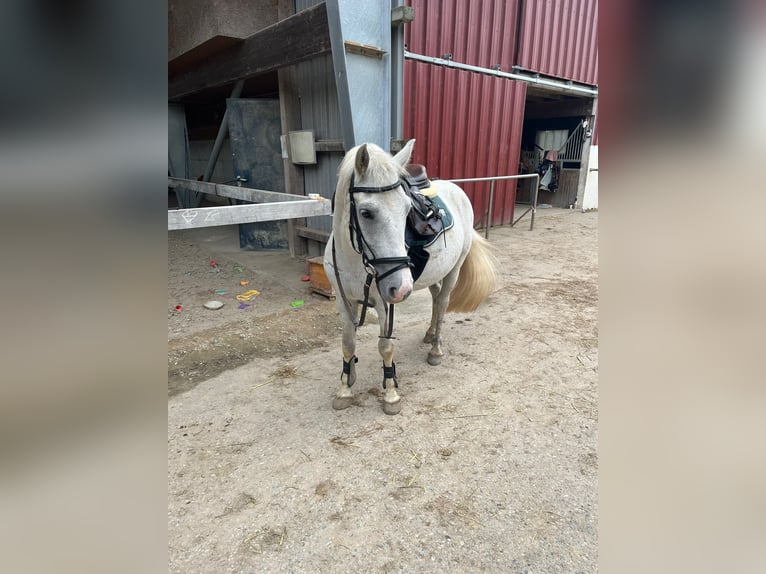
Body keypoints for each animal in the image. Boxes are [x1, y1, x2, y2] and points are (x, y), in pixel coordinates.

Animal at [323, 139, 496, 415]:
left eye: (407, 210)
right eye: (366, 212)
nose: (402, 288)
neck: (353, 259)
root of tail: (457, 189)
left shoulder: (384, 304)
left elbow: (385, 346)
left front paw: (391, 395)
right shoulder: (344, 300)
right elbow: (347, 343)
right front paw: (345, 389)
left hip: (454, 270)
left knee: (443, 302)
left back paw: (435, 349)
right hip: (432, 275)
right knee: (436, 299)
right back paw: (428, 334)